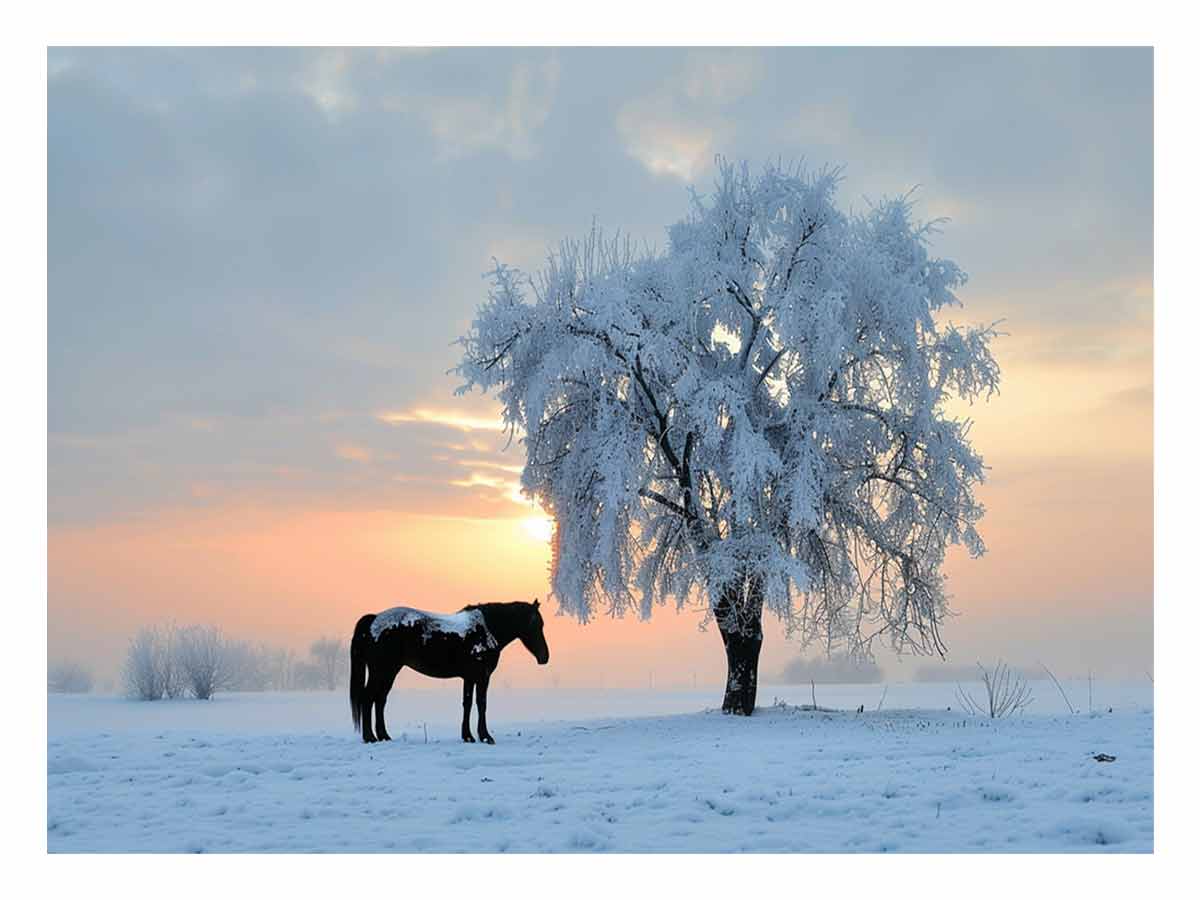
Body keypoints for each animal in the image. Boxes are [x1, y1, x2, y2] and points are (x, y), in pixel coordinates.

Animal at [349, 599, 549, 744]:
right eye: (536, 624)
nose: (544, 657)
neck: (486, 629)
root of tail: (374, 619)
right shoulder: (482, 677)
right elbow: (481, 704)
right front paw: (485, 737)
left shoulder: (470, 678)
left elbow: (467, 704)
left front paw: (468, 736)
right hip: (381, 672)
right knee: (368, 699)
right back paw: (370, 737)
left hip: (389, 673)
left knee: (379, 701)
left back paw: (384, 736)